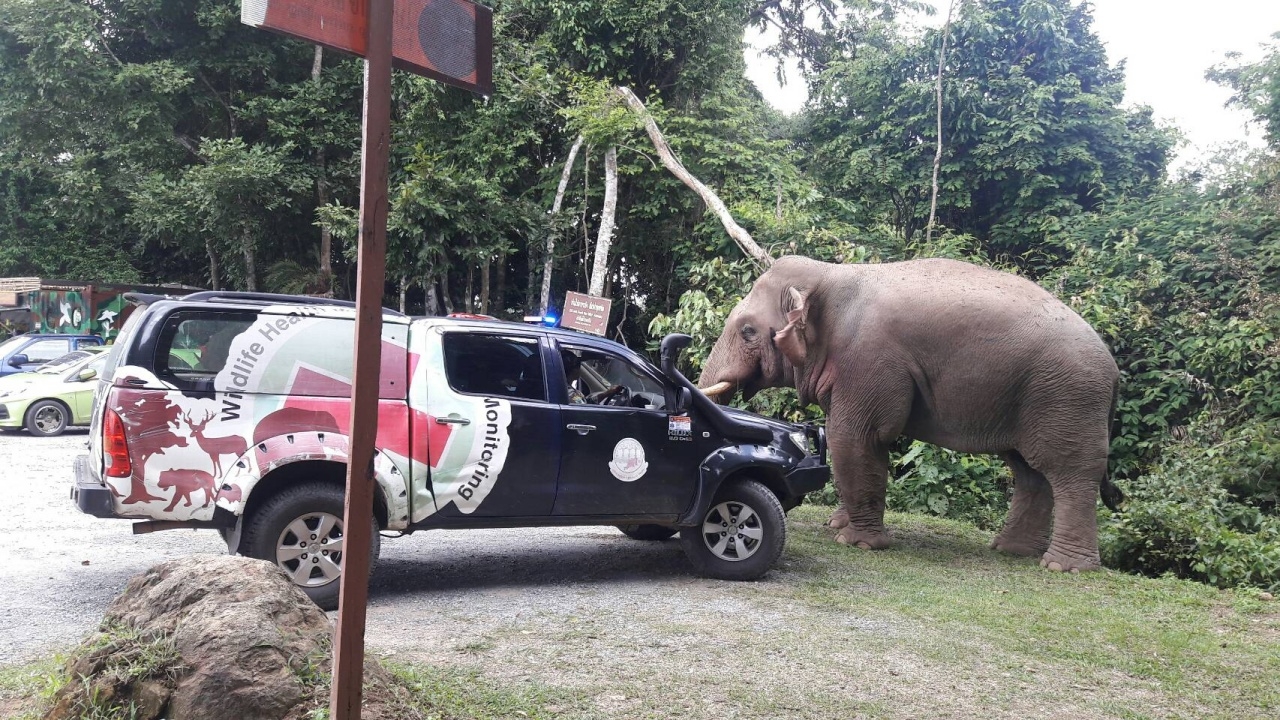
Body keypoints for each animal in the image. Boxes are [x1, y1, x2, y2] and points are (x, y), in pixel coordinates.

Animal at [701, 254, 1121, 568]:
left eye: (748, 331)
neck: (830, 274)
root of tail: (1113, 367)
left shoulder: (870, 358)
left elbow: (854, 437)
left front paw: (856, 543)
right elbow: (850, 443)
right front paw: (836, 524)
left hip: (1068, 398)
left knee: (1068, 471)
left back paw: (1062, 566)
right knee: (1030, 470)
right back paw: (1011, 551)